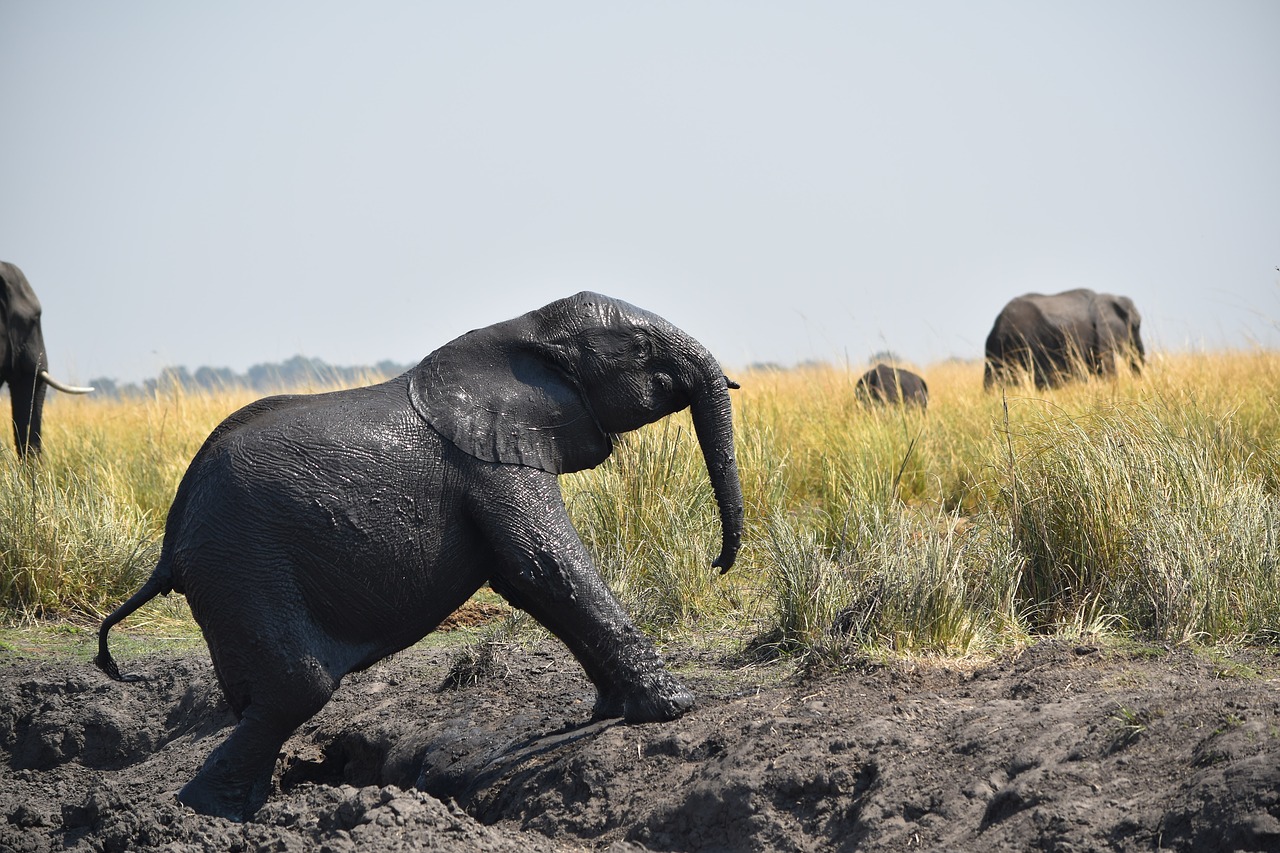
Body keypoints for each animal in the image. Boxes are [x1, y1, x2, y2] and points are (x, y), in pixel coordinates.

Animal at [95, 291, 744, 822]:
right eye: (640, 348)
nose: (717, 565)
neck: (525, 328)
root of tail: (170, 542)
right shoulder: (489, 462)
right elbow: (546, 565)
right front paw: (675, 707)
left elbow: (526, 582)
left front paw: (614, 708)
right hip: (241, 565)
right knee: (295, 690)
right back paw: (210, 819)